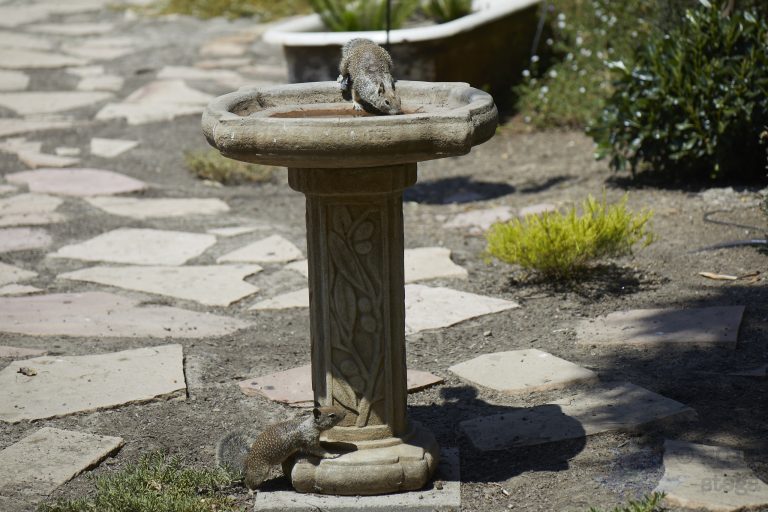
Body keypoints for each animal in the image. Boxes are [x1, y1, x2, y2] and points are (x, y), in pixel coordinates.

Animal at [216, 406, 347, 490]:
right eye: (331, 415)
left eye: (333, 406)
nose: (345, 412)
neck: (311, 424)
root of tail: (247, 462)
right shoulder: (309, 439)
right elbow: (317, 450)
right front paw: (332, 454)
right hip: (260, 471)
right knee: (248, 481)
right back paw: (252, 490)